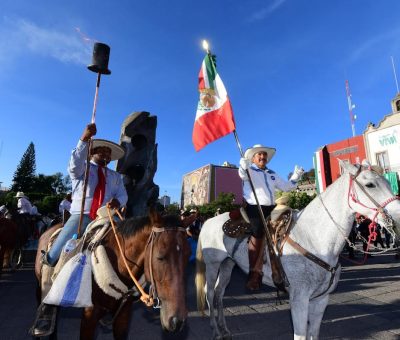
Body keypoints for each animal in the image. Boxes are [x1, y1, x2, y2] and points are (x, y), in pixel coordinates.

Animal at [195, 161, 400, 338]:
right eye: (370, 184)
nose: (397, 218)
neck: (313, 237)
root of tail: (208, 221)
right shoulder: (299, 299)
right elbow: (300, 335)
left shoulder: (320, 300)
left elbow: (313, 333)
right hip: (213, 264)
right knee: (210, 292)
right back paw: (216, 331)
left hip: (228, 264)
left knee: (220, 293)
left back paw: (224, 329)